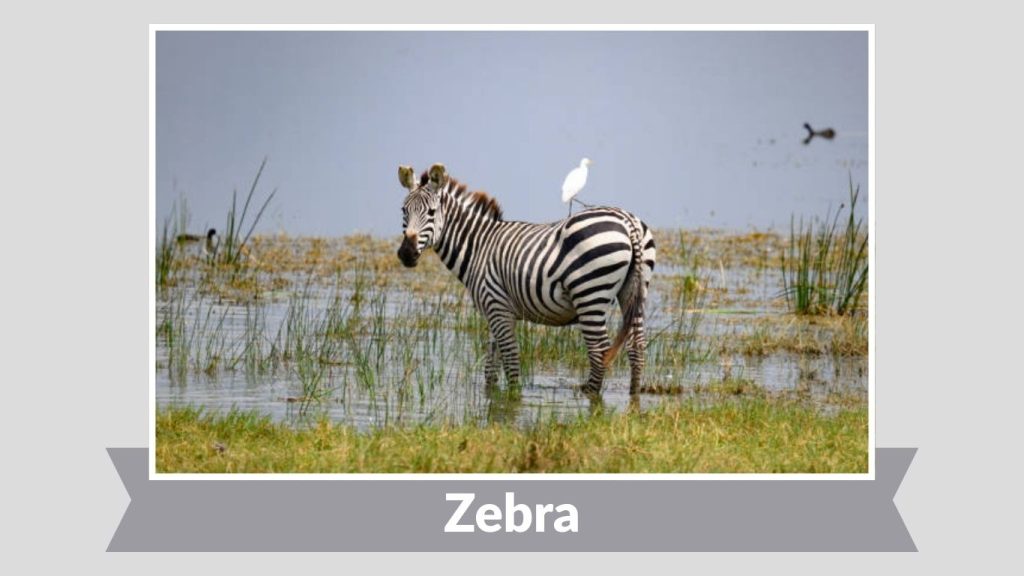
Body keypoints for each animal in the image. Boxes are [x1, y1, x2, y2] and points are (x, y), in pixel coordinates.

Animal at [396, 163, 656, 395]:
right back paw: (633, 401)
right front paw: (493, 400)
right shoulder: (495, 311)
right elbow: (491, 367)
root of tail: (627, 222)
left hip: (590, 295)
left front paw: (513, 399)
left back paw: (590, 398)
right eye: (403, 211)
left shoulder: (497, 306)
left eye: (431, 213)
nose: (406, 254)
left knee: (599, 352)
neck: (479, 246)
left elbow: (511, 359)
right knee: (636, 347)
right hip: (634, 291)